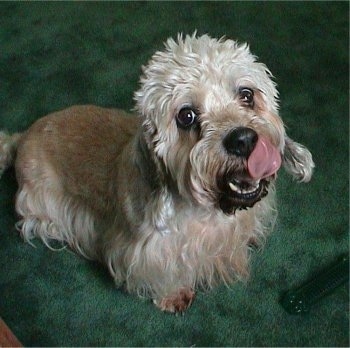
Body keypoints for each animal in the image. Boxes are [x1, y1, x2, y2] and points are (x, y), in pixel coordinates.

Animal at [0, 34, 314, 312]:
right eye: (186, 116)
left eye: (247, 95)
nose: (243, 140)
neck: (212, 214)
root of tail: (21, 137)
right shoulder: (143, 254)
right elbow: (162, 276)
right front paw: (173, 296)